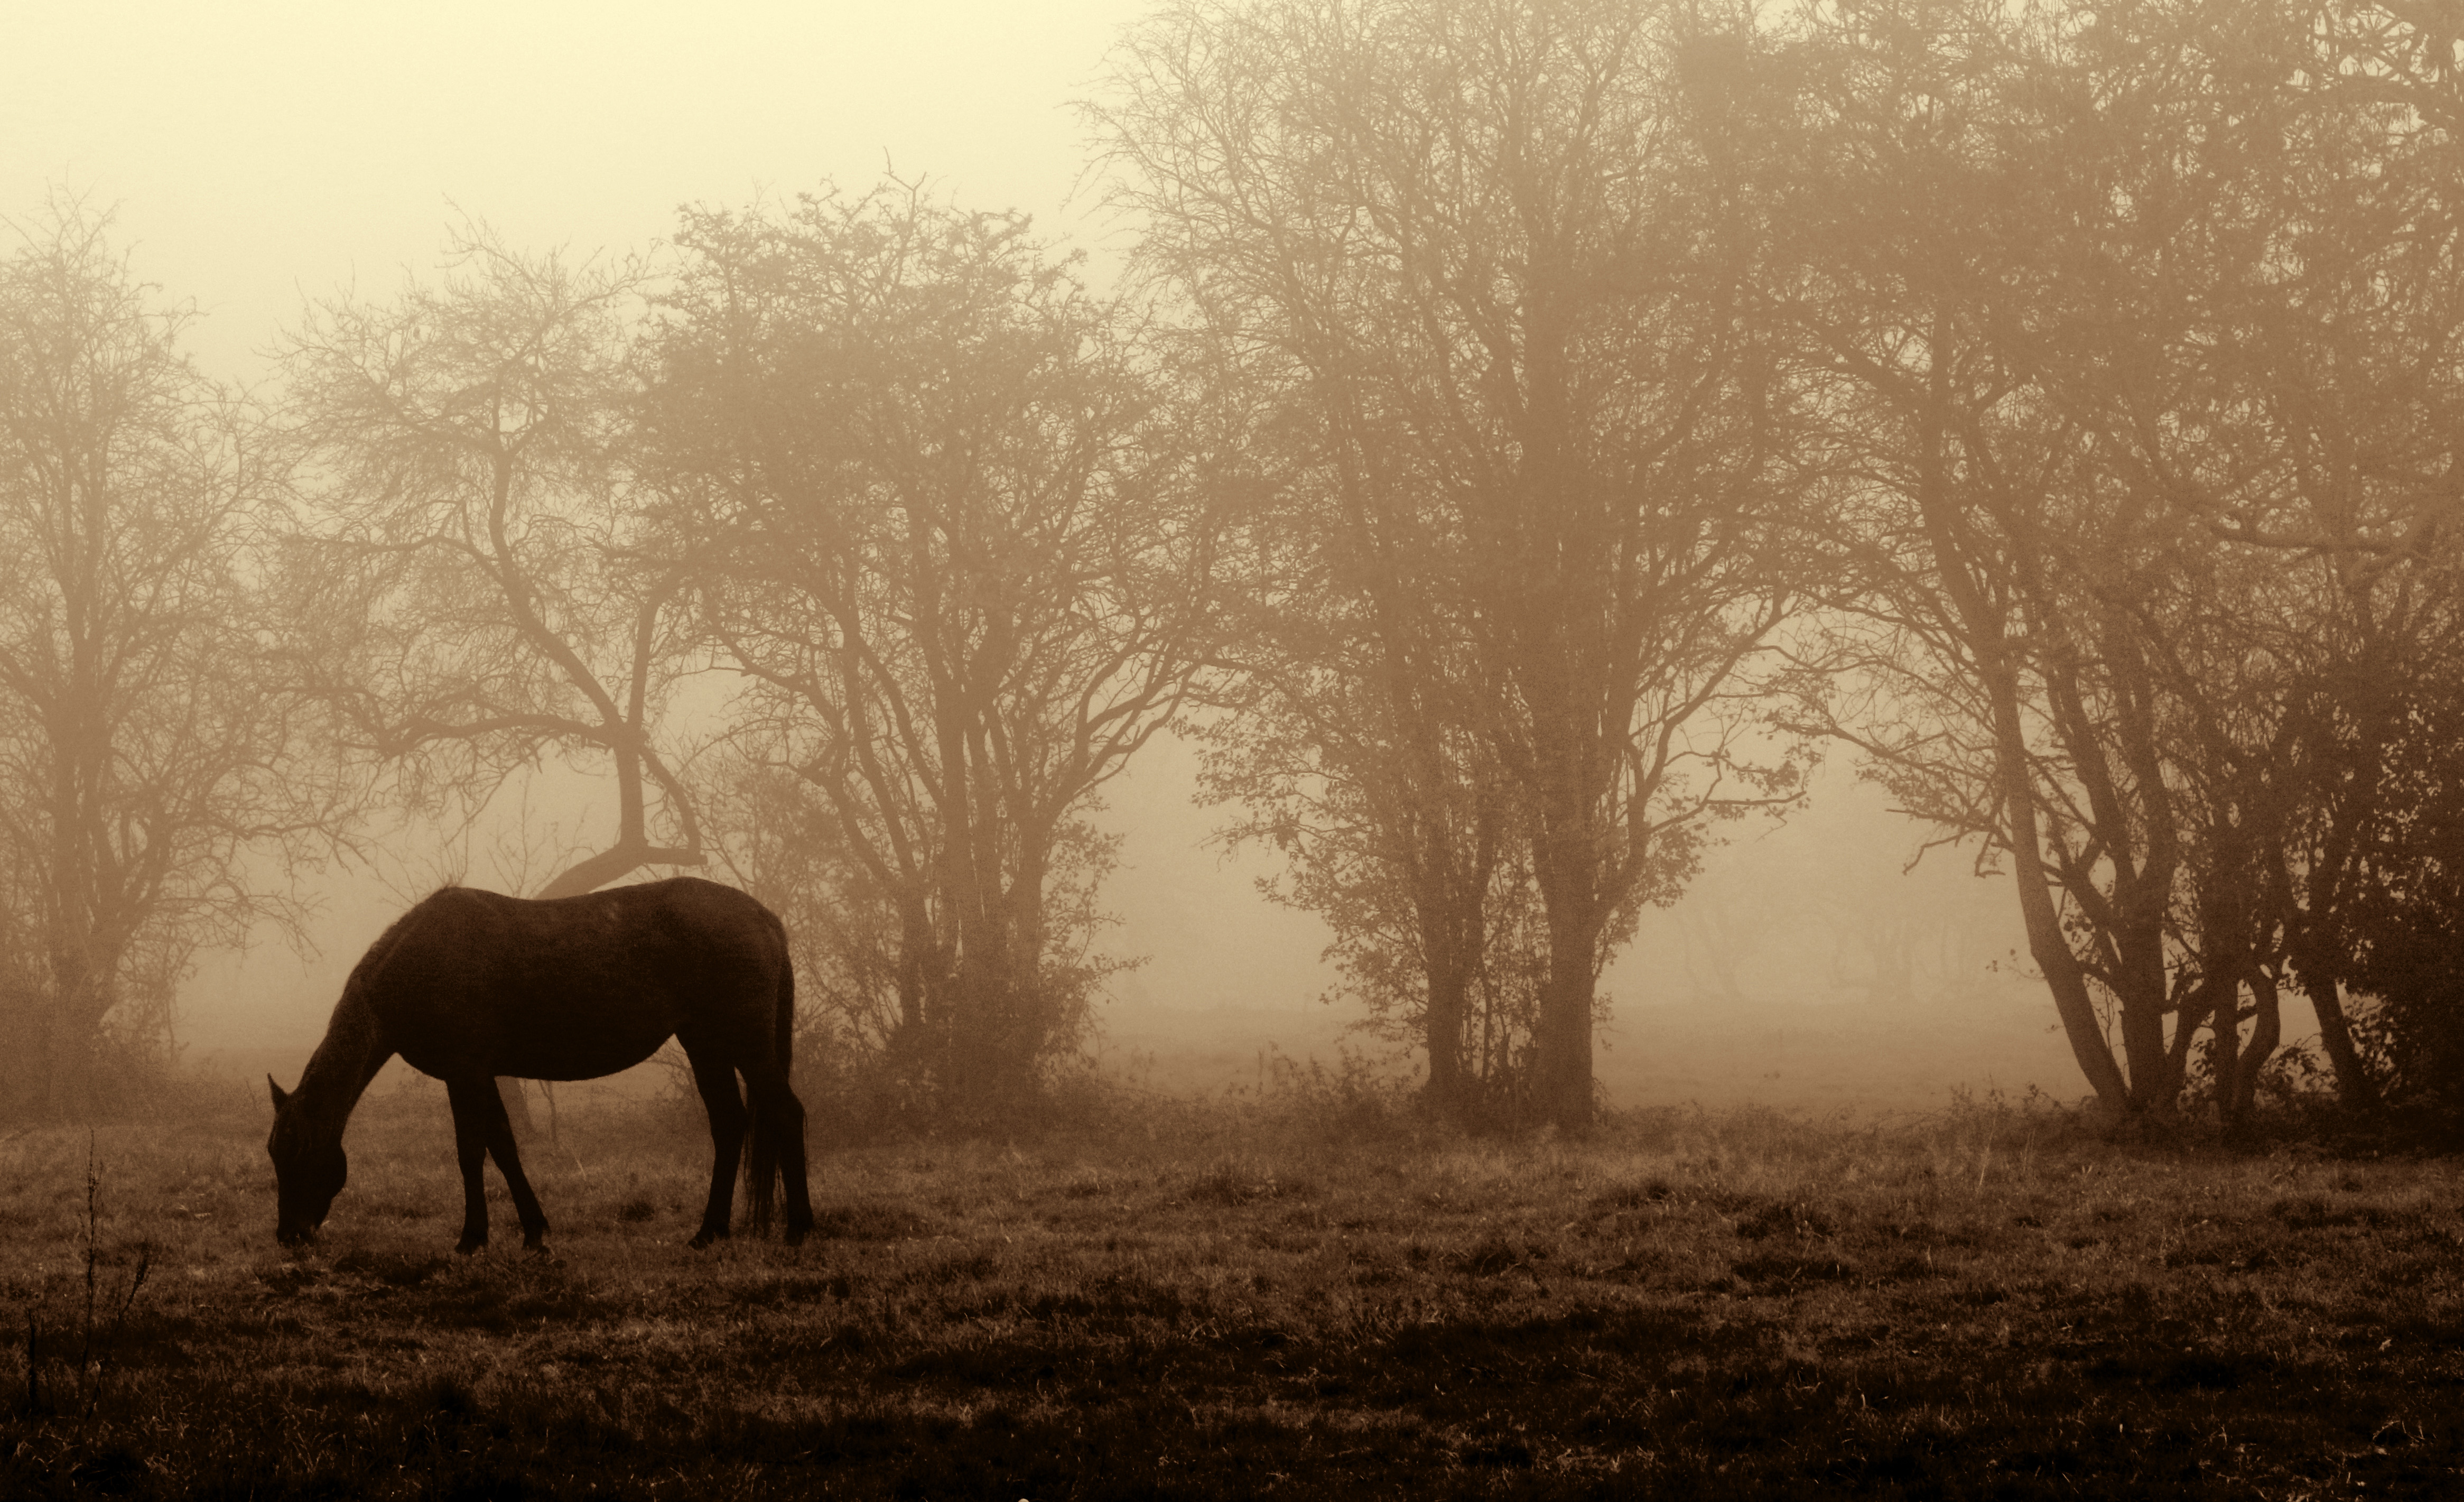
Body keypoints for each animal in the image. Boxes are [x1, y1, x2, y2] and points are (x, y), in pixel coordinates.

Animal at [267, 878, 818, 1253]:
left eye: (298, 1153)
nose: (290, 1235)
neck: (421, 961)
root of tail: (763, 917)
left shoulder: (466, 1071)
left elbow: (476, 1150)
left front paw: (477, 1237)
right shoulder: (475, 1074)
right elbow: (498, 1146)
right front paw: (527, 1232)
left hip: (745, 1043)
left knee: (786, 1113)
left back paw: (799, 1227)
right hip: (705, 1045)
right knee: (729, 1125)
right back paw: (709, 1231)